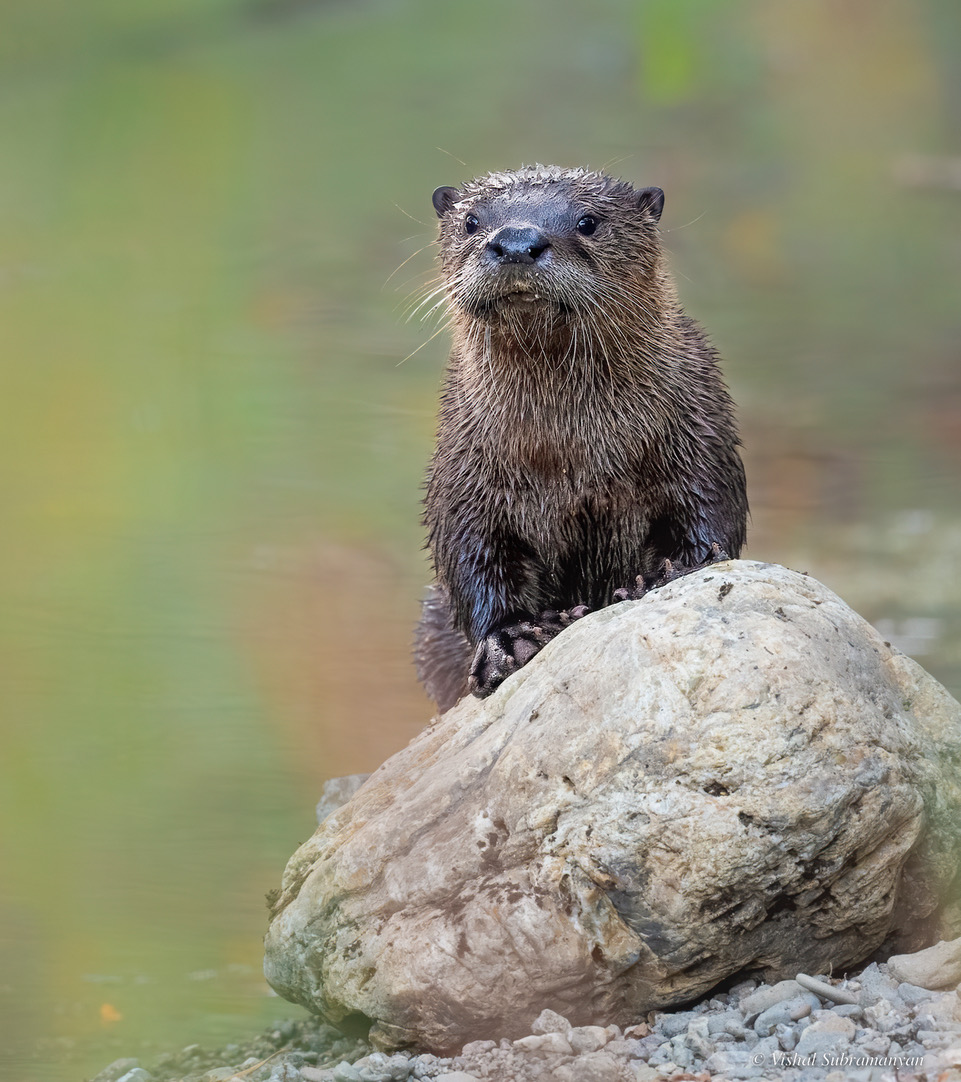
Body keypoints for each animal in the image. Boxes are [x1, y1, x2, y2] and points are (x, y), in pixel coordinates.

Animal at [414, 165, 748, 712]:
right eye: (471, 221)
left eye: (589, 221)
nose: (516, 242)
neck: (574, 454)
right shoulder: (463, 469)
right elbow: (472, 553)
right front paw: (510, 639)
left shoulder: (701, 430)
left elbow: (713, 511)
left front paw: (674, 571)